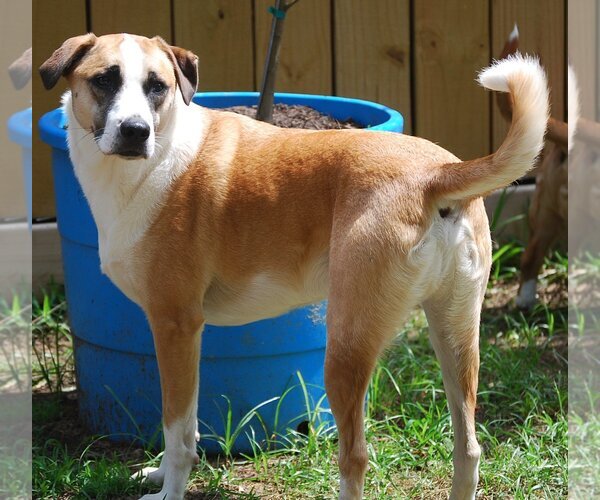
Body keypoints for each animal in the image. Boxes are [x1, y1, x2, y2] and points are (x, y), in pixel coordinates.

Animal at [39, 33, 552, 498]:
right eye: (104, 80)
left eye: (157, 86)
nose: (134, 131)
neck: (157, 155)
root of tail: (435, 174)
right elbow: (179, 426)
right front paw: (160, 475)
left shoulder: (176, 327)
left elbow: (177, 430)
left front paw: (170, 492)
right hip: (455, 334)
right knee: (468, 449)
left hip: (345, 349)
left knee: (355, 456)